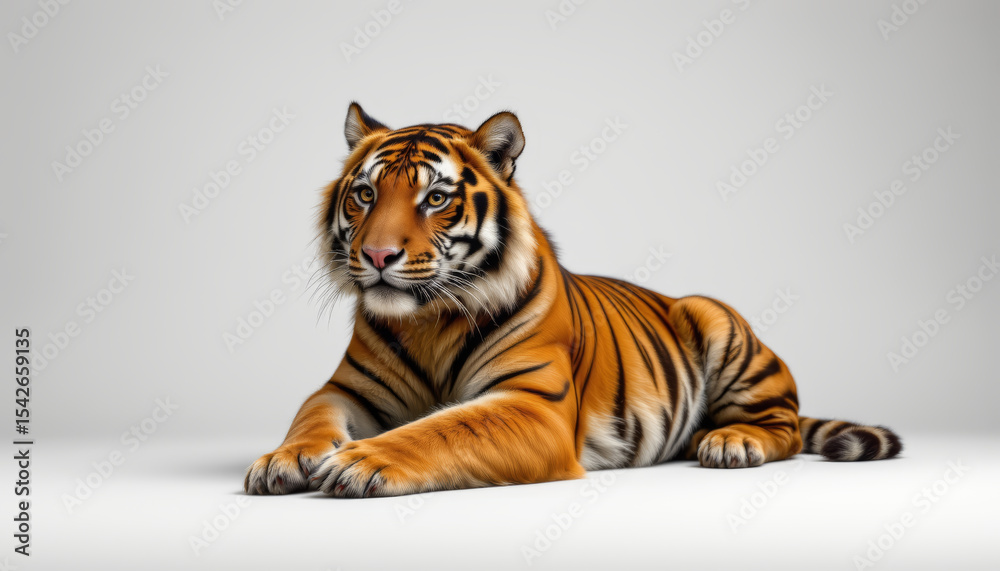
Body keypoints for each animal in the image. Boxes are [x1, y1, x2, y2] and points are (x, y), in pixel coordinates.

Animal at [244, 103, 902, 498]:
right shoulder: (345, 390)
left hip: (718, 323)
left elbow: (441, 430)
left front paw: (359, 463)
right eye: (364, 194)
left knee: (784, 425)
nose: (378, 256)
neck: (426, 321)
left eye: (435, 198)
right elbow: (311, 417)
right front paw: (282, 459)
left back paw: (730, 441)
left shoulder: (533, 404)